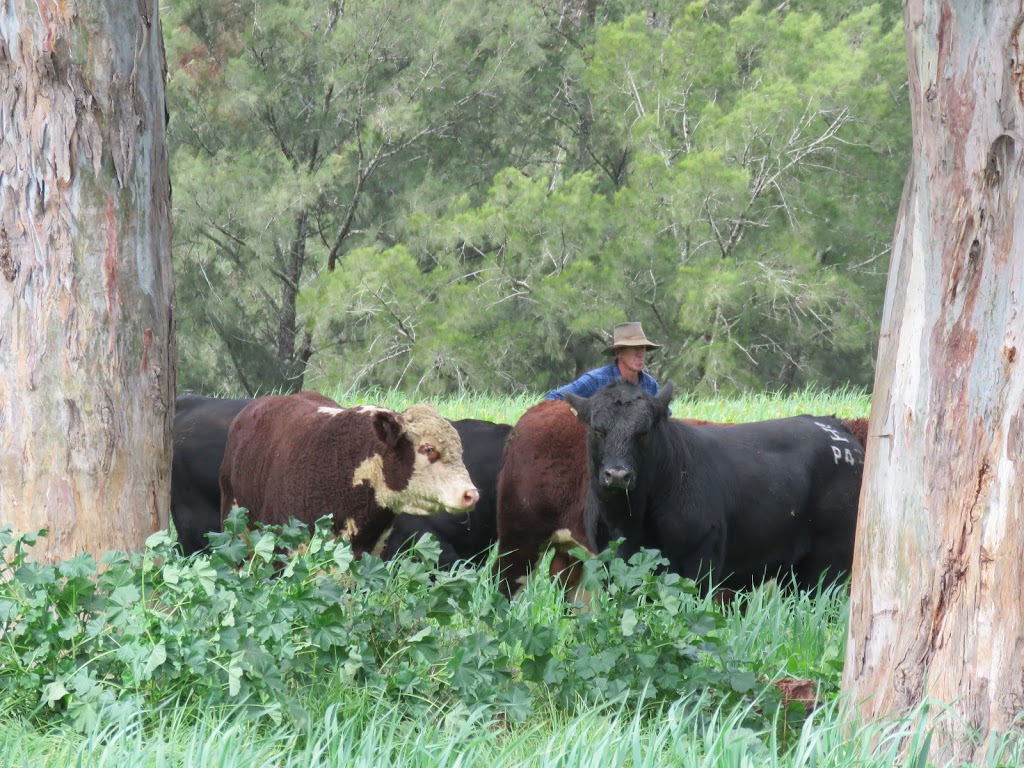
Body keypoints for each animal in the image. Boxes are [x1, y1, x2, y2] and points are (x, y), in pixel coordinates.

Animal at [569, 382, 864, 593]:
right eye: (598, 430)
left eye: (643, 432)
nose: (618, 475)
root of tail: (835, 427)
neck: (628, 521)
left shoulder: (700, 562)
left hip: (829, 562)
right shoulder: (610, 565)